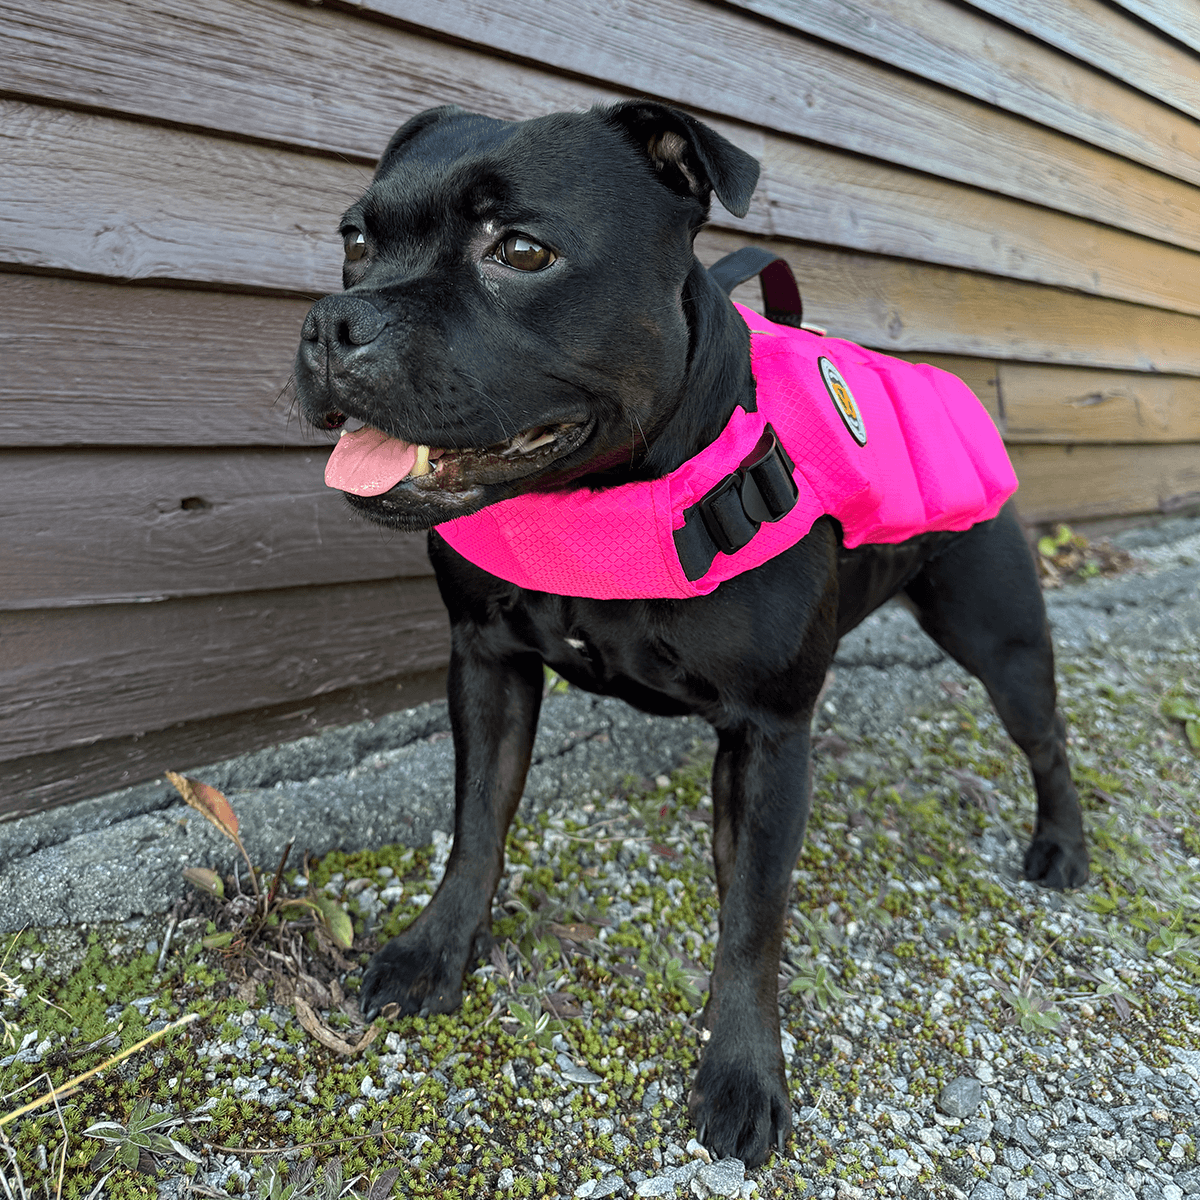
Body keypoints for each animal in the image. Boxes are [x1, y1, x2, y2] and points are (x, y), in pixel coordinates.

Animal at [292, 98, 1089, 1166]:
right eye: (355, 241)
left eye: (522, 250)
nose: (333, 322)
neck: (597, 501)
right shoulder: (488, 665)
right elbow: (478, 826)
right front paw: (437, 952)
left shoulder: (769, 732)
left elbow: (754, 915)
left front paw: (743, 1071)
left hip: (998, 635)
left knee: (1045, 739)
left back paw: (1062, 848)